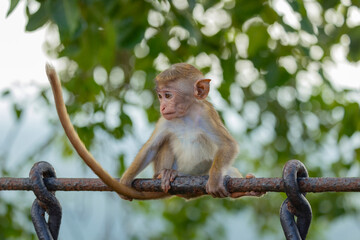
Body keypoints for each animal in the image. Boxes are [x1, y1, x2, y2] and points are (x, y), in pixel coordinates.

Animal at [46, 62, 262, 201]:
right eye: (160, 96)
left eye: (168, 95)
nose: (163, 107)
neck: (185, 116)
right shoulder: (164, 121)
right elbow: (151, 147)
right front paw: (125, 182)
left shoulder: (207, 115)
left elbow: (227, 145)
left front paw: (216, 181)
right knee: (166, 143)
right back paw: (165, 174)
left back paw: (241, 190)